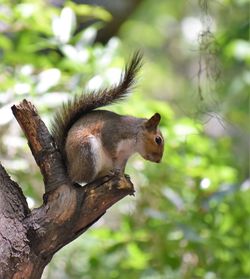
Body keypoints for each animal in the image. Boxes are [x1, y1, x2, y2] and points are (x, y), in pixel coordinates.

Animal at [50, 52, 164, 184]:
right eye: (158, 140)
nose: (158, 160)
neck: (133, 144)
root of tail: (70, 169)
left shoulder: (124, 157)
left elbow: (120, 167)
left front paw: (124, 176)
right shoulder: (112, 132)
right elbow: (110, 148)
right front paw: (114, 166)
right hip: (87, 151)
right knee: (85, 179)